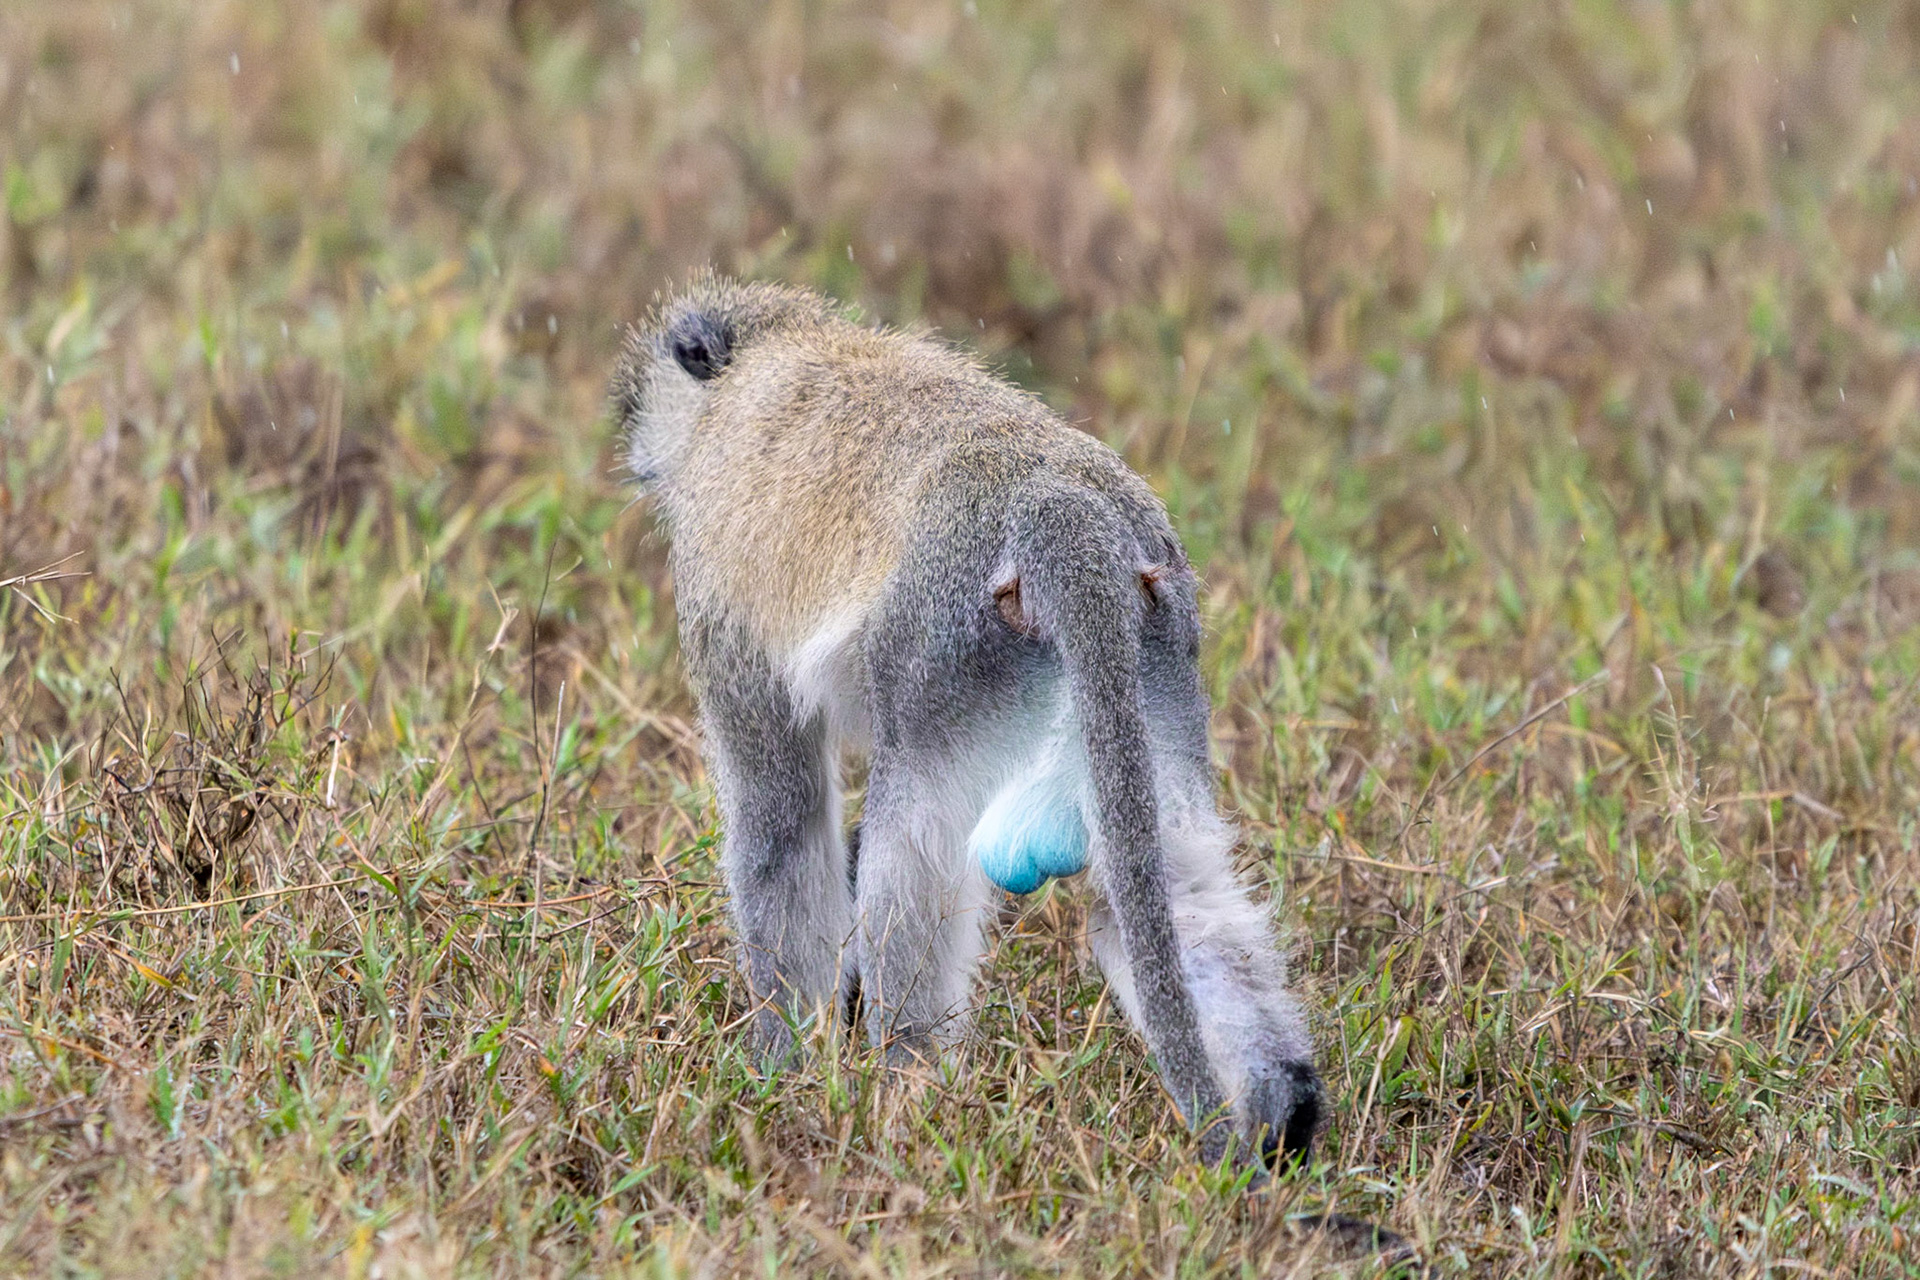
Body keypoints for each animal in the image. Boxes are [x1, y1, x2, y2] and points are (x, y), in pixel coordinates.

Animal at [610, 275, 1320, 1167]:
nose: (639, 462)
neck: (772, 346)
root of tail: (1060, 511)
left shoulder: (716, 588)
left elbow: (780, 825)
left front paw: (780, 1073)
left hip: (943, 652)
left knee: (911, 843)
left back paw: (903, 1089)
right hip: (1159, 647)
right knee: (1163, 877)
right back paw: (1278, 1110)